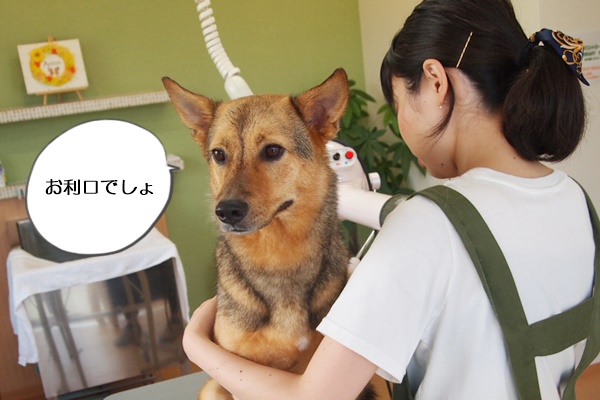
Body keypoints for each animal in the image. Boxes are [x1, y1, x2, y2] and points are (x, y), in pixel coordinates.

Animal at [163, 69, 376, 400]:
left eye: (272, 150)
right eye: (218, 154)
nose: (226, 211)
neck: (278, 253)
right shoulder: (238, 375)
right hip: (213, 388)